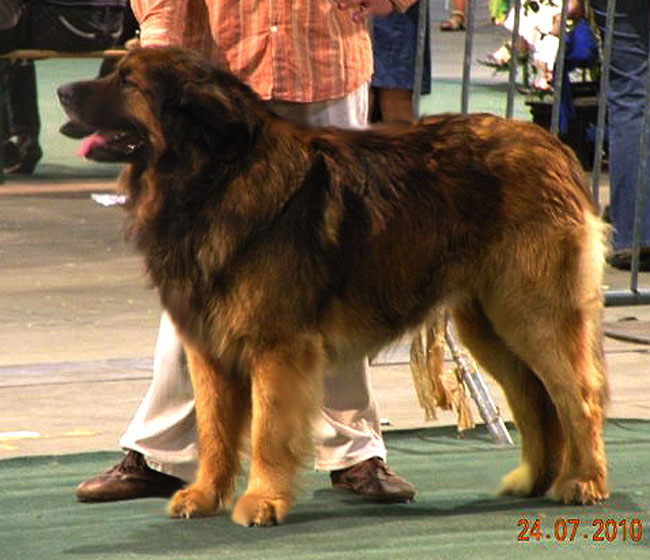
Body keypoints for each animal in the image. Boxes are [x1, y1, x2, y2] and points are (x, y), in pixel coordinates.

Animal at [58, 47, 612, 524]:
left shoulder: (276, 348)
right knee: (534, 398)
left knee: (578, 397)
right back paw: (533, 480)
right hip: (487, 323)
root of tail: (554, 146)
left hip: (533, 313)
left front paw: (261, 501)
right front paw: (205, 495)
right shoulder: (209, 350)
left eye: (127, 81)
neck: (213, 178)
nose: (62, 89)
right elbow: (213, 431)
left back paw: (584, 483)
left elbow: (266, 433)